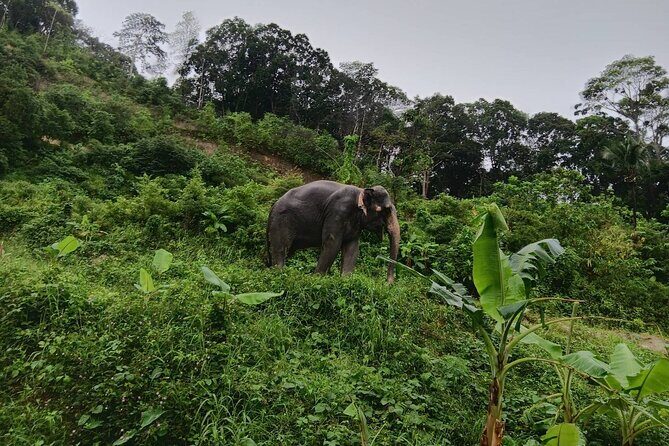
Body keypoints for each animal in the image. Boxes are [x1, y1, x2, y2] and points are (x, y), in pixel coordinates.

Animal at [266, 180, 400, 282]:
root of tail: (273, 207)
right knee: (280, 249)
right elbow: (332, 244)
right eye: (385, 210)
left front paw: (345, 281)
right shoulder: (338, 211)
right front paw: (317, 280)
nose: (388, 284)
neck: (361, 190)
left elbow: (352, 249)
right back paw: (278, 274)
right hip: (281, 222)